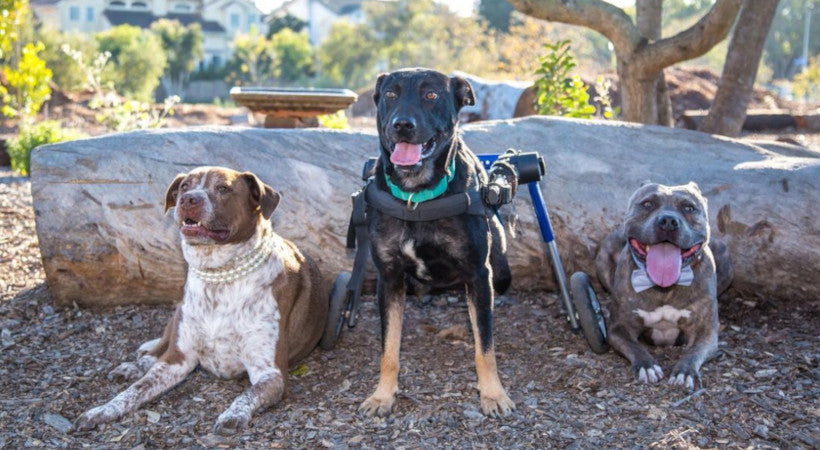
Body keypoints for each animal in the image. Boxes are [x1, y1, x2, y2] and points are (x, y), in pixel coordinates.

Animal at [75, 167, 326, 434]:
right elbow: (137, 388)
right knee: (156, 351)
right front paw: (103, 409)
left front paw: (233, 414)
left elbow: (247, 395)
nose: (188, 200)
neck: (219, 277)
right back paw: (134, 366)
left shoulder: (270, 372)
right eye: (185, 186)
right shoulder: (178, 359)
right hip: (177, 315)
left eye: (223, 188)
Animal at [358, 67, 512, 418]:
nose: (402, 124)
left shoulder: (479, 274)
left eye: (431, 95)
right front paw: (382, 395)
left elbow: (486, 346)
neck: (417, 197)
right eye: (391, 94)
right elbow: (389, 348)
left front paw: (493, 394)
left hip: (499, 272)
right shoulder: (389, 278)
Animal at [596, 181, 732, 388]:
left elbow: (693, 353)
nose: (668, 221)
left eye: (689, 208)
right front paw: (647, 366)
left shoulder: (706, 332)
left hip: (724, 255)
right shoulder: (618, 329)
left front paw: (685, 372)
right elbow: (635, 347)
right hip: (605, 253)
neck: (664, 289)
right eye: (647, 204)